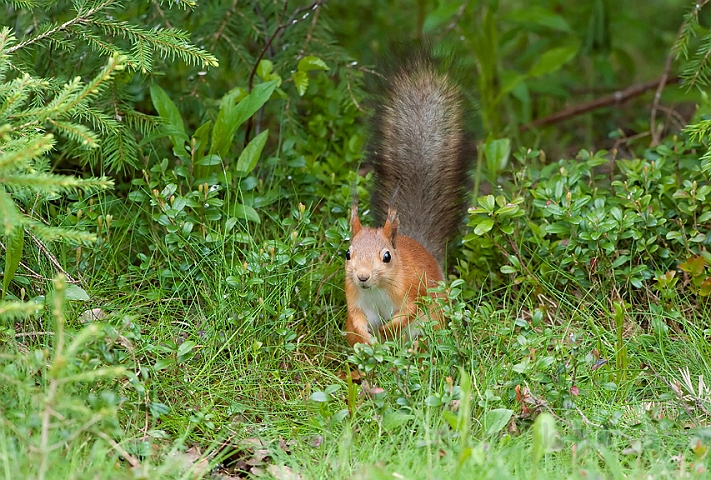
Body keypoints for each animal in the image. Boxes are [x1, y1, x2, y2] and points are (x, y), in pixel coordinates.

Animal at [344, 47, 472, 346]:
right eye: (347, 253)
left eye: (387, 256)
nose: (362, 277)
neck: (377, 289)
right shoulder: (354, 301)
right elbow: (357, 317)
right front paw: (370, 338)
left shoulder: (413, 288)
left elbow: (409, 311)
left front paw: (387, 330)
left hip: (434, 320)